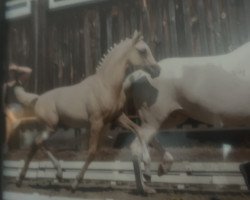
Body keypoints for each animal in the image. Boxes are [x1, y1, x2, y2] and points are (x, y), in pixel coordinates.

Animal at [14, 30, 160, 191]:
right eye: (142, 50)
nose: (157, 70)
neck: (107, 85)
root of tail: (38, 98)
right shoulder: (96, 122)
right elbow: (92, 152)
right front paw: (75, 183)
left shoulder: (117, 118)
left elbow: (138, 131)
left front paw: (147, 172)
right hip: (50, 126)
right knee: (37, 143)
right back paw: (27, 178)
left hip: (53, 127)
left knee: (37, 144)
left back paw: (49, 175)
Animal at [124, 41, 250, 193]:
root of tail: (140, 74)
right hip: (153, 120)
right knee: (137, 145)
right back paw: (146, 182)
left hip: (172, 118)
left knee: (143, 138)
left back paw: (160, 170)